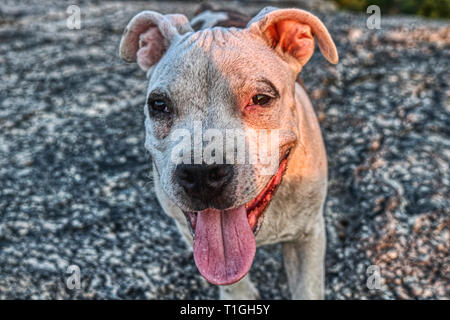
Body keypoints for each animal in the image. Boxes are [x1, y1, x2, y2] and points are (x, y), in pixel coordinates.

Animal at [119, 5, 338, 300]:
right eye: (158, 105)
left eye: (261, 99)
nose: (201, 173)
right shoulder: (186, 229)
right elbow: (233, 284)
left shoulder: (309, 235)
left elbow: (308, 289)